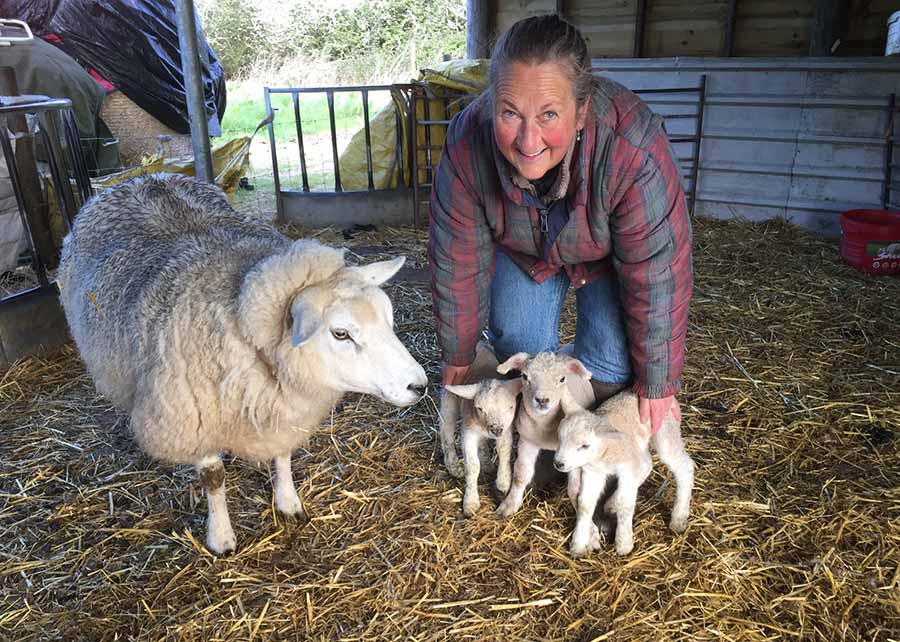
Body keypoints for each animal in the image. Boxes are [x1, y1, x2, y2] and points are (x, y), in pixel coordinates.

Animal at [57, 172, 428, 552]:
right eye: (341, 333)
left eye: (388, 317)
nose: (420, 385)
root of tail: (142, 178)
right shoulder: (195, 418)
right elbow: (213, 477)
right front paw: (221, 536)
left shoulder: (281, 412)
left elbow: (282, 454)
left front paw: (288, 502)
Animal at [442, 340, 524, 516]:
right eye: (480, 408)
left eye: (510, 407)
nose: (496, 429)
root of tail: (479, 343)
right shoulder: (468, 432)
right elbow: (472, 466)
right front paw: (471, 502)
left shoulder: (506, 430)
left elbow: (504, 452)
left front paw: (503, 483)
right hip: (449, 397)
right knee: (447, 431)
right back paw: (453, 465)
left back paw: (486, 461)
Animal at [556, 390, 696, 556]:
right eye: (559, 438)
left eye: (584, 446)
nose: (558, 463)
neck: (604, 454)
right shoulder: (594, 472)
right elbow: (584, 503)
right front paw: (578, 544)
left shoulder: (627, 467)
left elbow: (625, 503)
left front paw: (624, 543)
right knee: (646, 464)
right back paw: (611, 503)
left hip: (665, 430)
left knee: (684, 466)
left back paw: (679, 518)